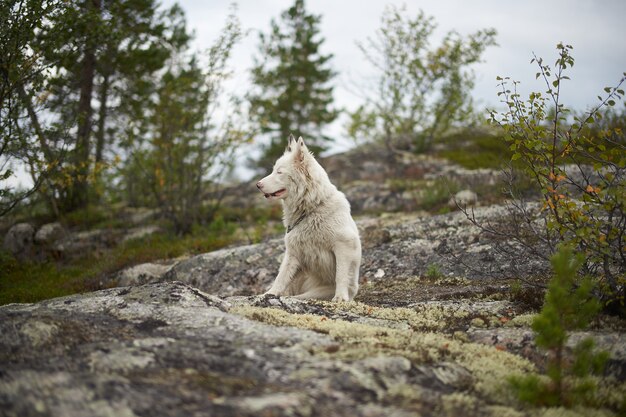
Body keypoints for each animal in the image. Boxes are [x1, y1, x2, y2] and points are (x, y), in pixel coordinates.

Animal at [255, 135, 360, 300]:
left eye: (279, 172)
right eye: (273, 170)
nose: (257, 185)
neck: (311, 207)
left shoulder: (344, 245)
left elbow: (341, 275)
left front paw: (340, 298)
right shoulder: (292, 253)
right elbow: (281, 277)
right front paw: (269, 294)